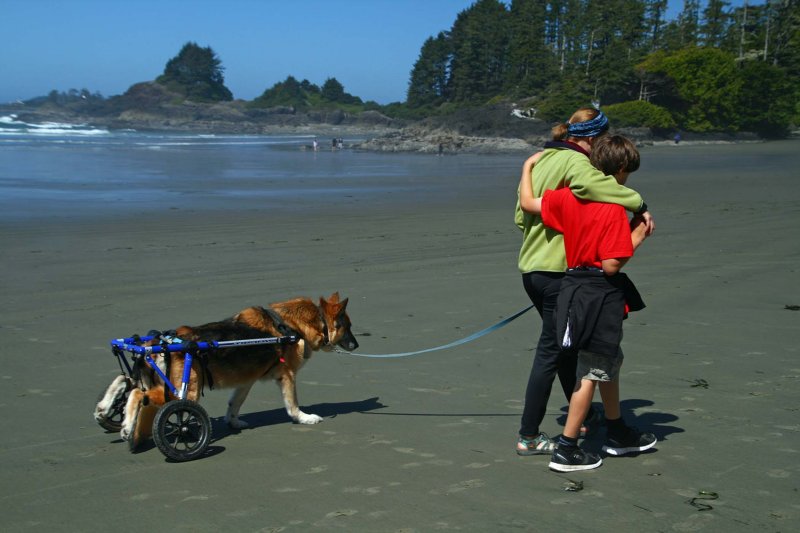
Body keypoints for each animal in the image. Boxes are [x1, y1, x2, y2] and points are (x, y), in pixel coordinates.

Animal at [94, 294, 356, 446]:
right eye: (348, 327)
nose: (358, 345)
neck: (293, 326)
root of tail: (160, 341)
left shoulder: (246, 381)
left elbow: (234, 403)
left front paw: (233, 421)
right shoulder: (287, 377)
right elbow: (292, 405)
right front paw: (304, 418)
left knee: (125, 380)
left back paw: (104, 409)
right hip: (181, 392)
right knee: (138, 394)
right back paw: (127, 426)